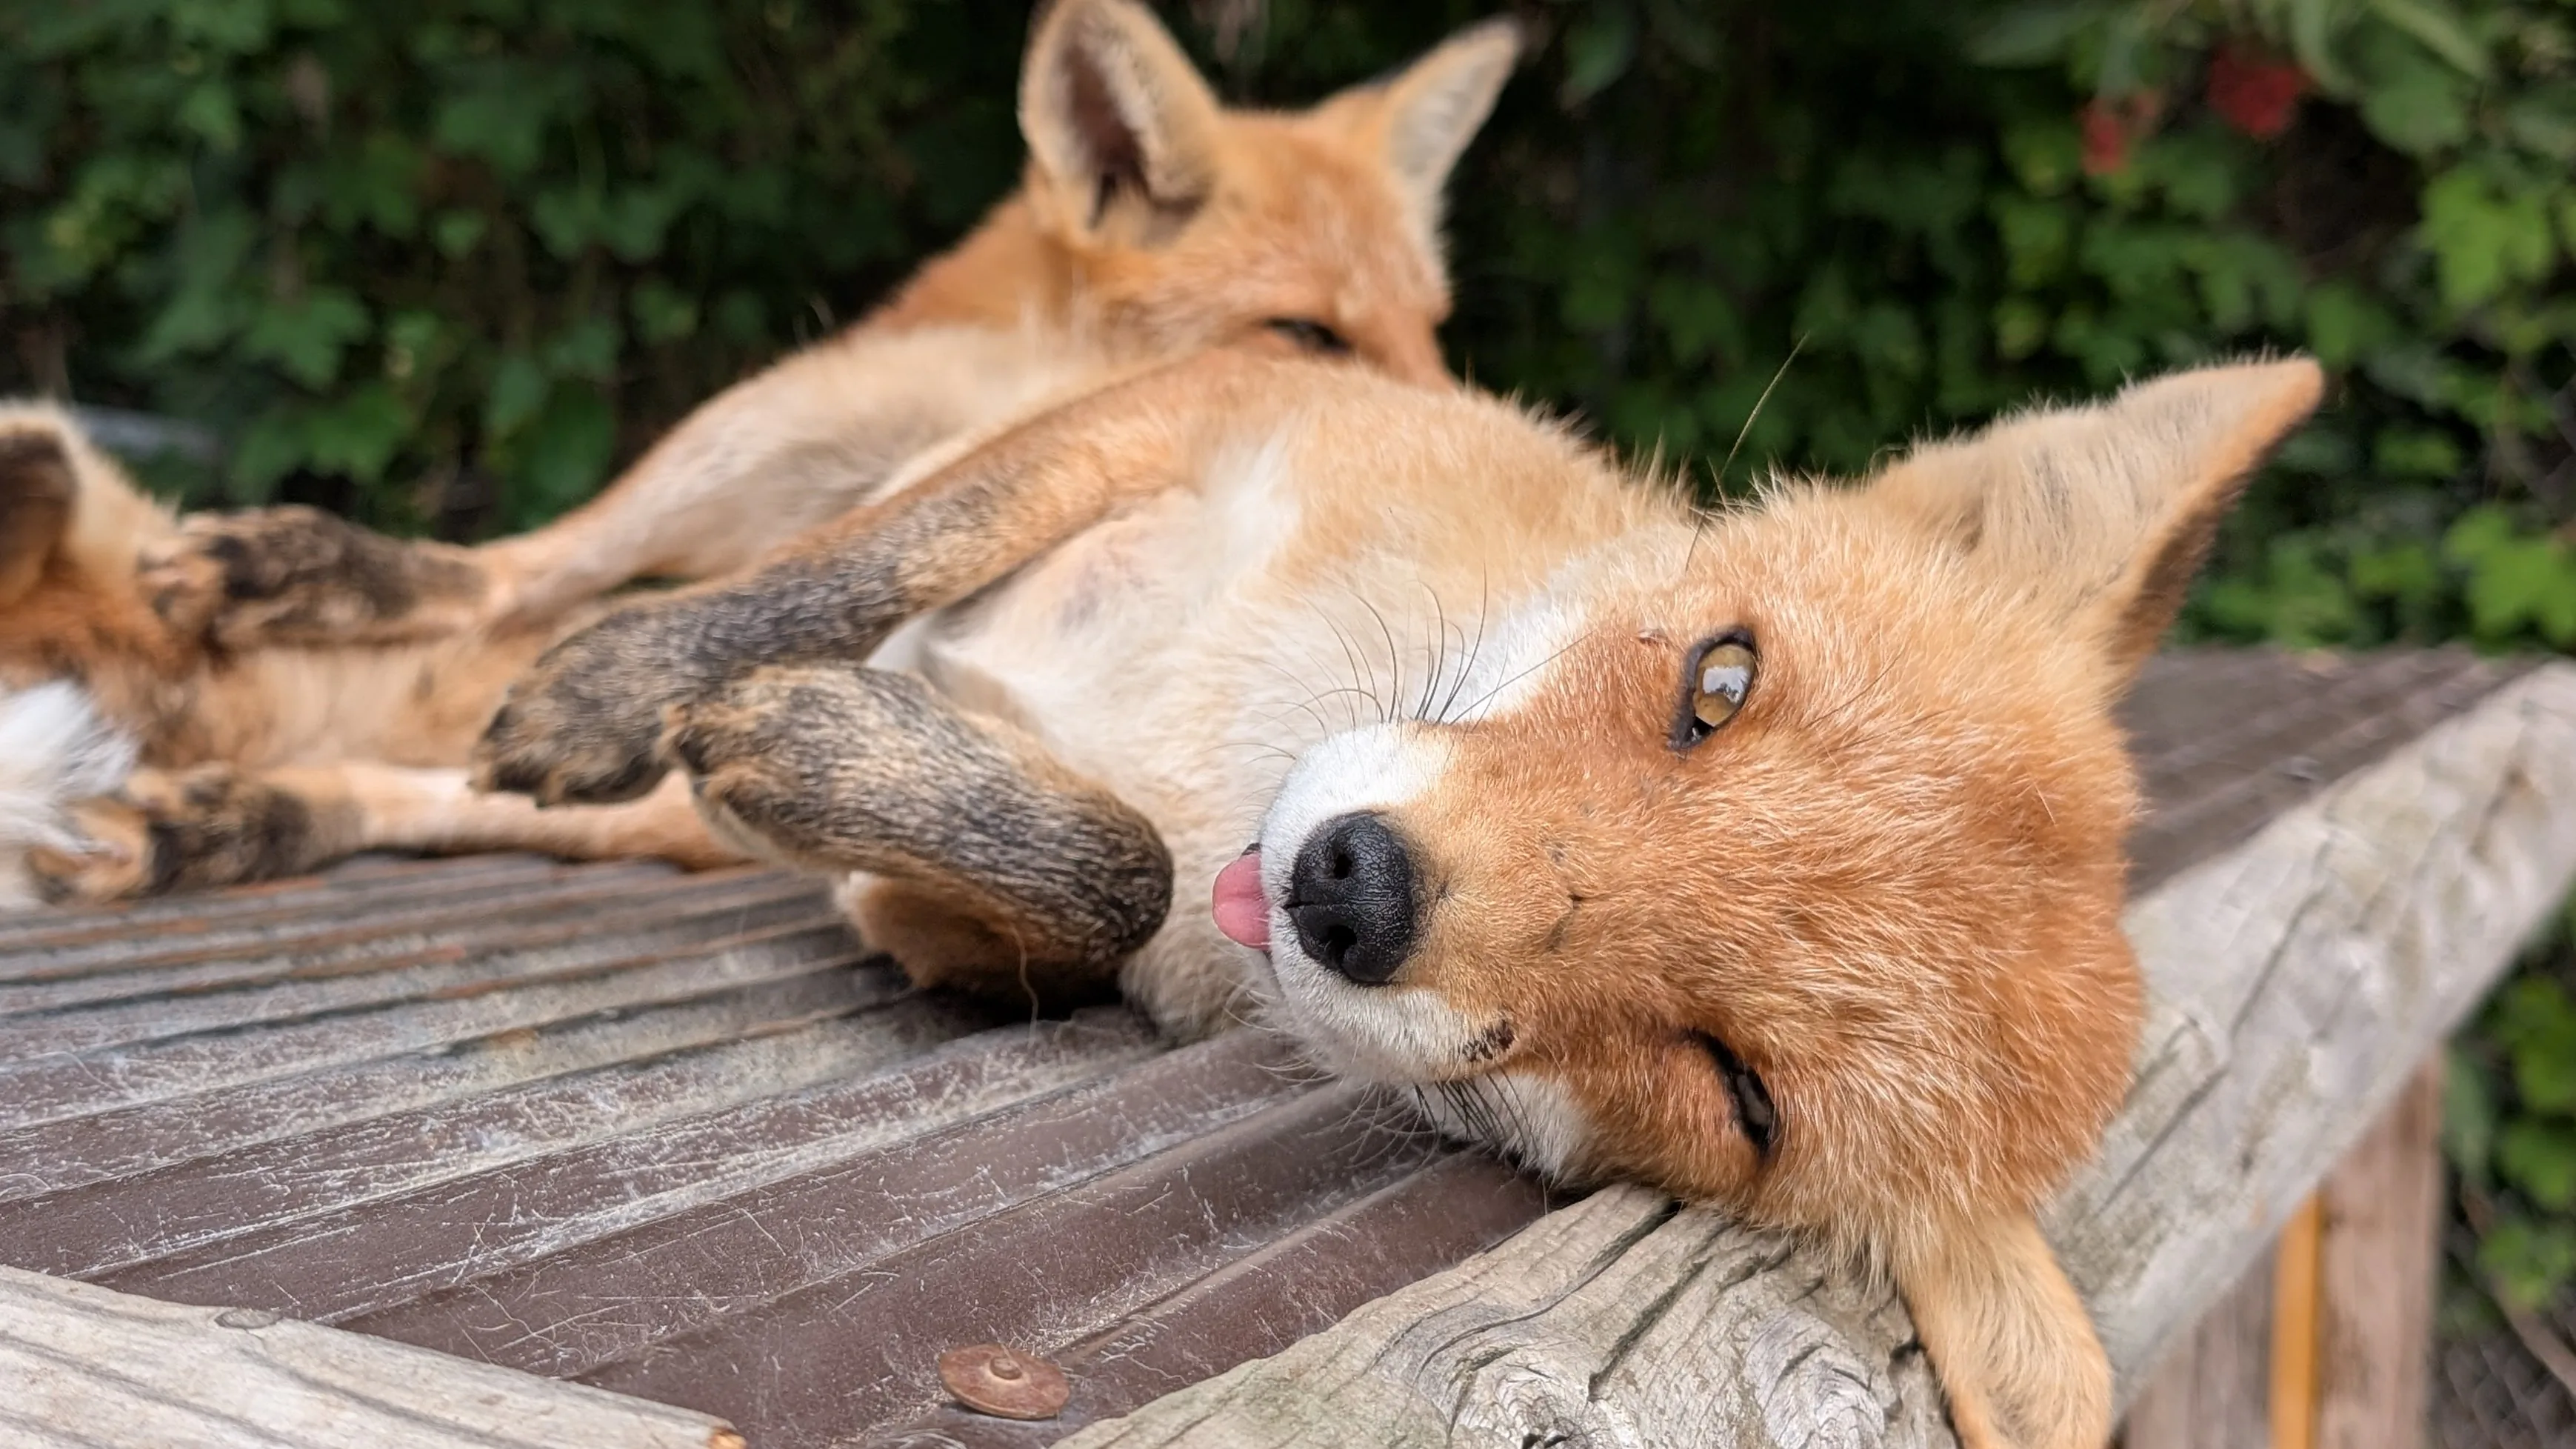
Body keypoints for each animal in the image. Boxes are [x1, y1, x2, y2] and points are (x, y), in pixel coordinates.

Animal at [461, 347, 2328, 1448]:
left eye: (1734, 1092)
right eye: (1716, 685)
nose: (1347, 894)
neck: (1201, 727)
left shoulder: (1103, 885)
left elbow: (1110, 875)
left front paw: (851, 795)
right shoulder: (1183, 418)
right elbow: (846, 578)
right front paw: (636, 687)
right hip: (769, 439)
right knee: (513, 583)